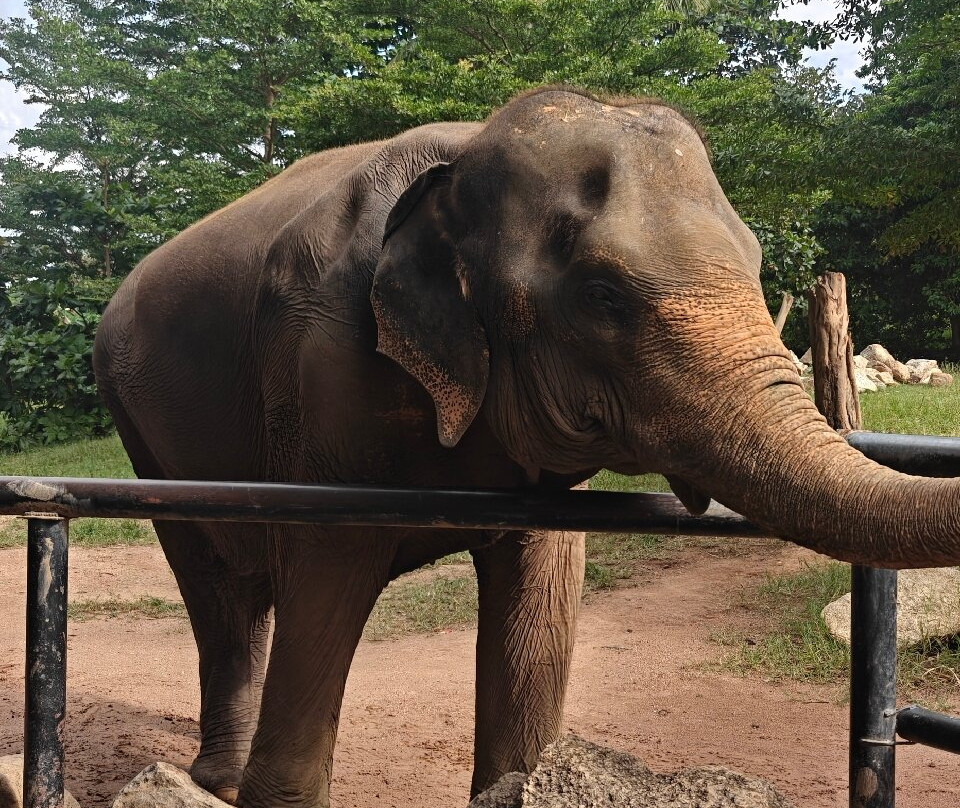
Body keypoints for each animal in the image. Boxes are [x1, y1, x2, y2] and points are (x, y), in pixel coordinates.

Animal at [94, 86, 960, 808]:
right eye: (602, 295)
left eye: (752, 264)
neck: (460, 165)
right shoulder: (321, 369)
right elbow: (325, 580)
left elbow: (540, 595)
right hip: (137, 424)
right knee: (221, 590)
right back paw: (215, 781)